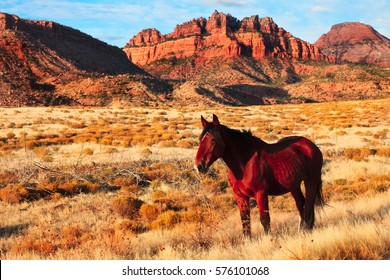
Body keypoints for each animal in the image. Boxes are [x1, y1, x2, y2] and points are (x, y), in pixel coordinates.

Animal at [193, 115, 324, 237]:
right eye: (200, 140)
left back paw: (306, 230)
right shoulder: (240, 196)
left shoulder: (260, 194)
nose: (198, 166)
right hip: (294, 185)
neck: (244, 164)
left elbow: (265, 220)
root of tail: (312, 145)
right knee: (301, 203)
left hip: (311, 180)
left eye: (213, 140)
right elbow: (245, 222)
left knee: (308, 206)